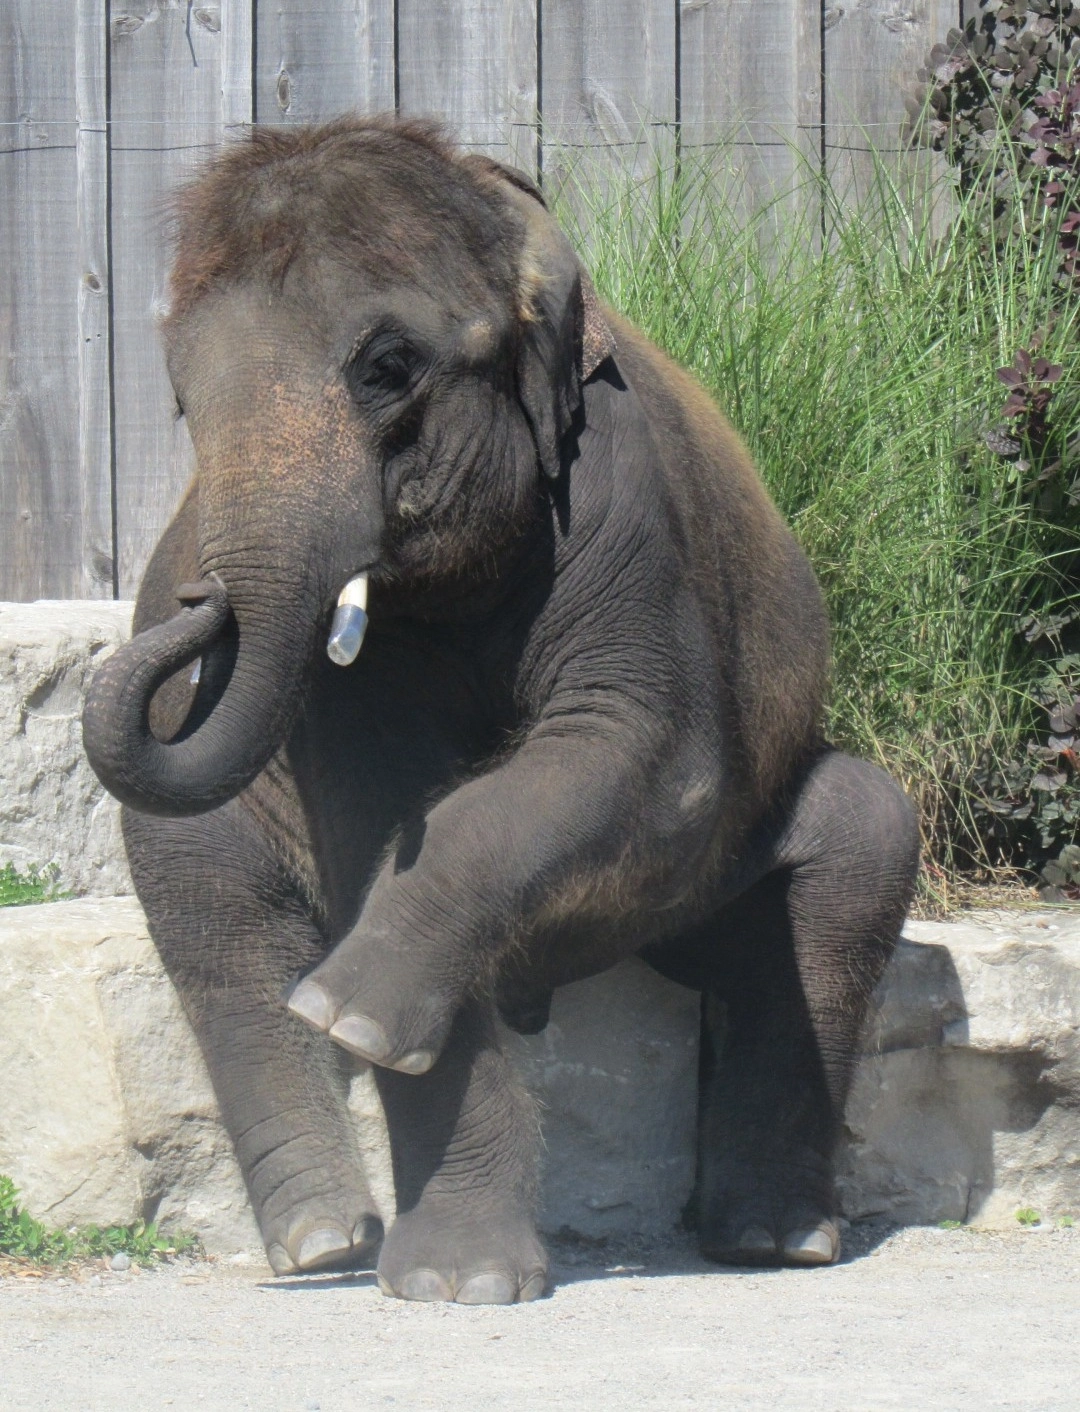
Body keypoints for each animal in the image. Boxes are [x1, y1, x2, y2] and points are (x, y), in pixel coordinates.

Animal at [82, 116, 920, 1304]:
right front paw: (459, 1281)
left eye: (386, 367)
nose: (194, 602)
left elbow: (643, 752)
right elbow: (376, 817)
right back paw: (323, 1241)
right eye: (183, 406)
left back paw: (773, 1242)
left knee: (853, 854)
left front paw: (352, 1011)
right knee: (211, 914)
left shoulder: (621, 497)